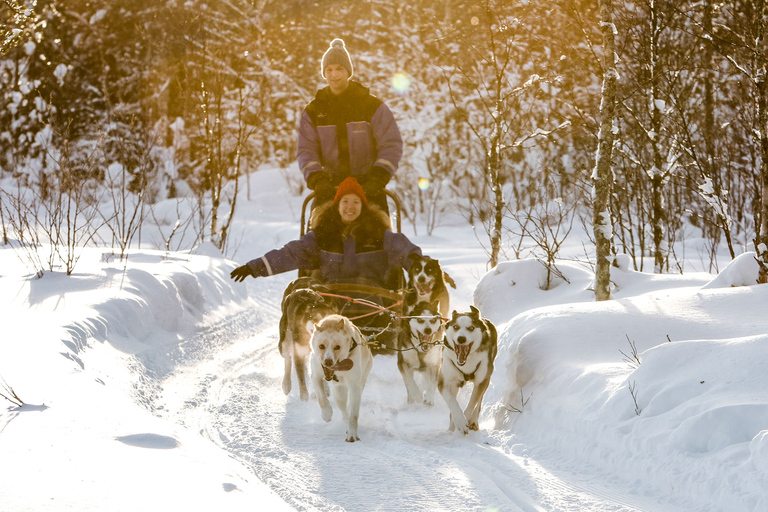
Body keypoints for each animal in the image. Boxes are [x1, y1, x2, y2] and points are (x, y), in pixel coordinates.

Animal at [310, 314, 374, 442]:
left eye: (337, 347)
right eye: (321, 346)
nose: (328, 362)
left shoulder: (354, 386)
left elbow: (354, 415)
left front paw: (352, 434)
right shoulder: (315, 376)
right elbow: (321, 398)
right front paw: (327, 414)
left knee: (349, 409)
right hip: (339, 394)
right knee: (344, 409)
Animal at [438, 306, 498, 434]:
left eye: (471, 328)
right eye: (456, 327)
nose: (461, 338)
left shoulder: (481, 380)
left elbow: (472, 403)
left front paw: (466, 419)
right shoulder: (444, 382)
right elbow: (452, 402)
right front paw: (460, 421)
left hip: (486, 378)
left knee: (478, 403)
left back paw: (473, 422)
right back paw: (452, 427)